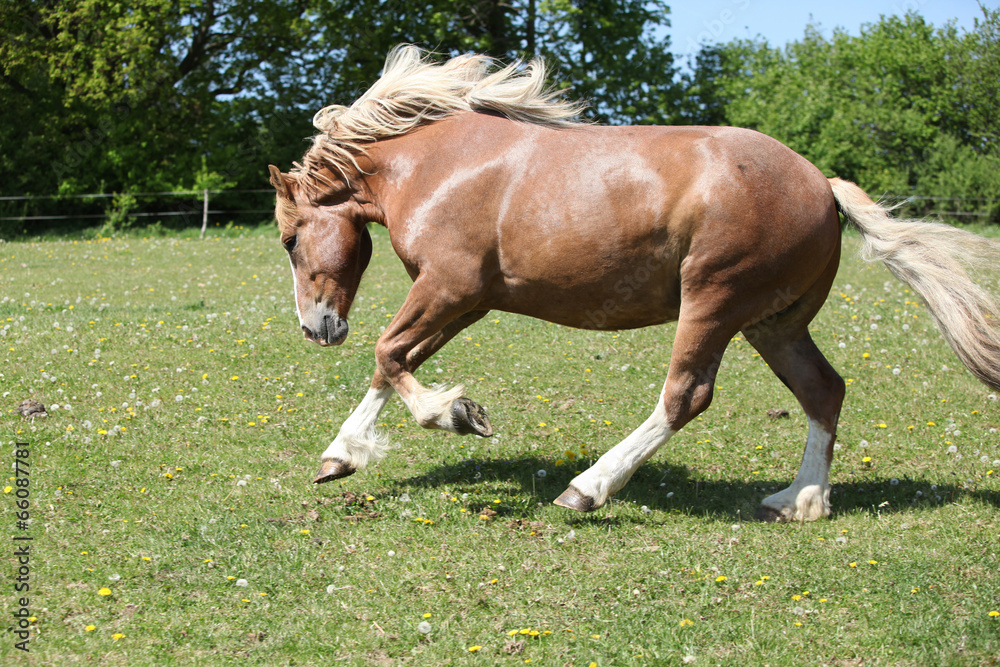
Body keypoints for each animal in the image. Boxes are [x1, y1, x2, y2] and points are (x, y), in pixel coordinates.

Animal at [268, 45, 1000, 521]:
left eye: (289, 239)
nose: (315, 327)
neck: (436, 163)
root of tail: (822, 184)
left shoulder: (450, 288)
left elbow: (389, 354)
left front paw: (455, 415)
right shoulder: (467, 302)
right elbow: (392, 363)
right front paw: (341, 456)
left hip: (714, 302)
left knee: (686, 396)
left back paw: (588, 488)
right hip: (774, 323)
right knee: (825, 389)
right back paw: (801, 501)